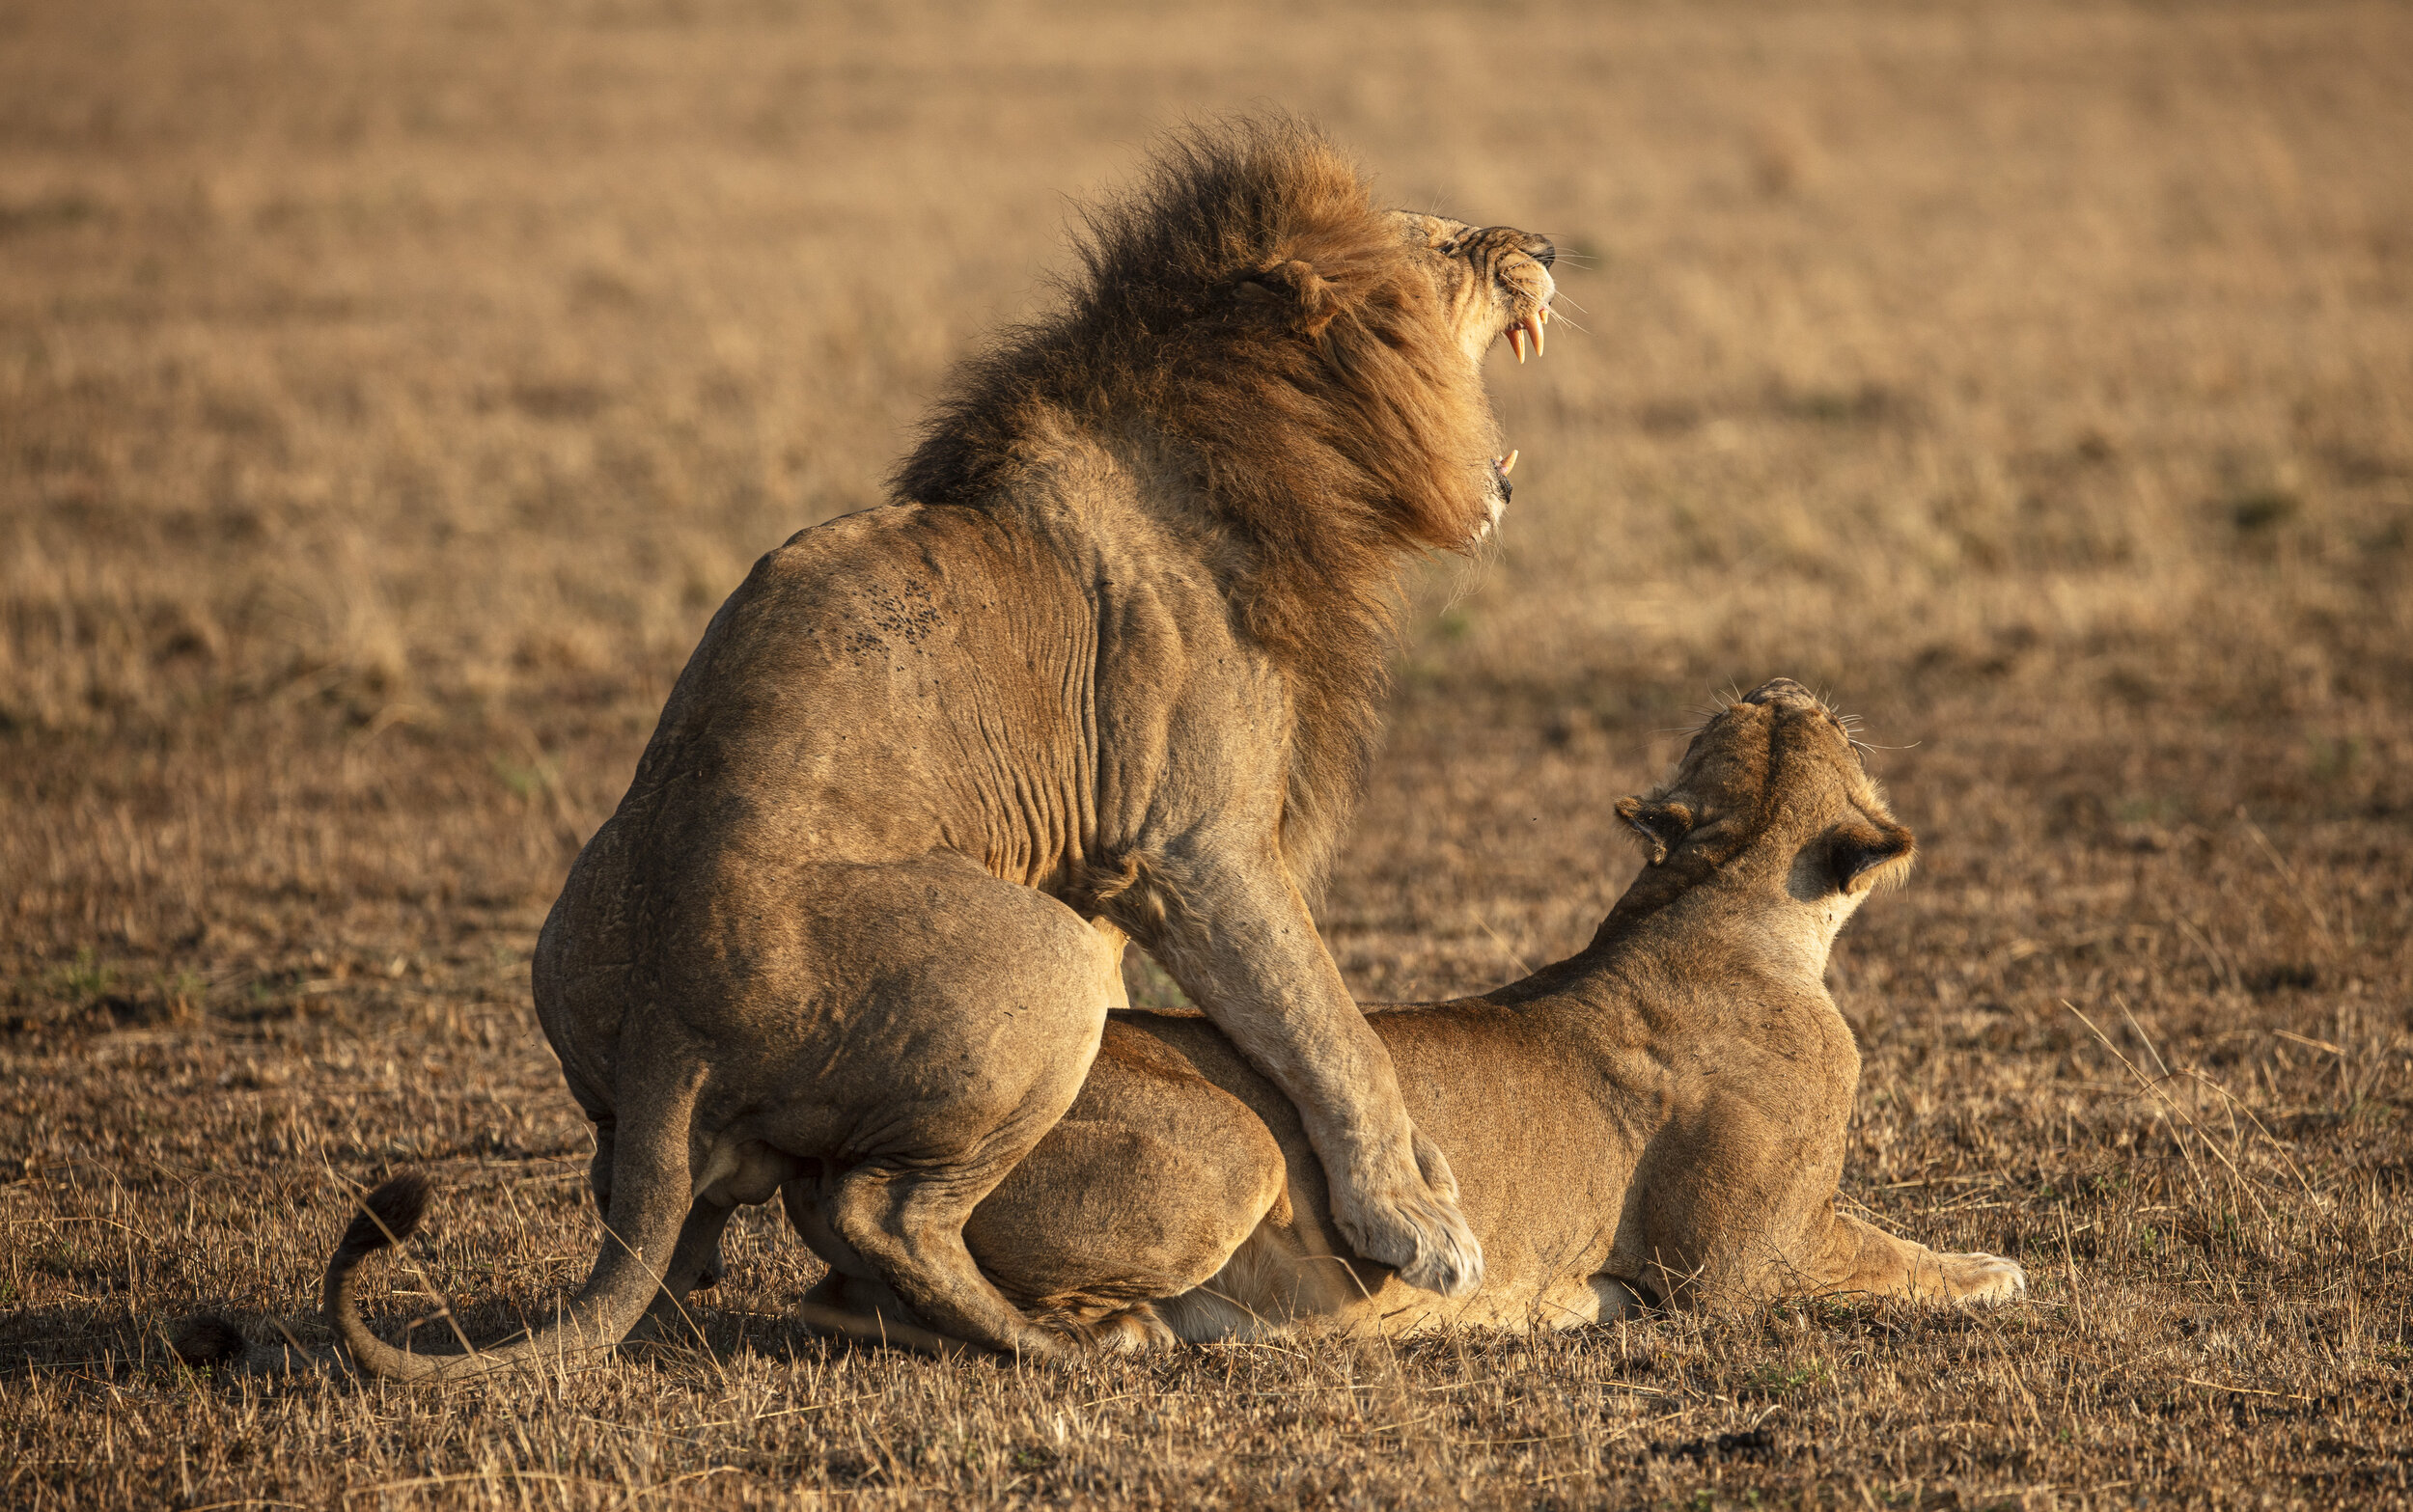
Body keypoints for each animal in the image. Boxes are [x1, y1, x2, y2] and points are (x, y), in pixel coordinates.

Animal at [316, 121, 1564, 1369]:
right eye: (1441, 244)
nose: (1547, 248)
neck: (1270, 434)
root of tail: (670, 1022)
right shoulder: (1194, 846)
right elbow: (1327, 1025)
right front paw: (1419, 1219)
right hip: (1048, 959)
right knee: (887, 1211)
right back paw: (1078, 1341)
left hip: (585, 954)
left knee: (636, 1188)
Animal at [787, 679, 2017, 1340]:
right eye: (1828, 730)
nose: (1778, 687)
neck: (1713, 895)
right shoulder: (1734, 1264)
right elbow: (1889, 1259)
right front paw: (1992, 1273)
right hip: (1236, 1151)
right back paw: (1122, 1331)